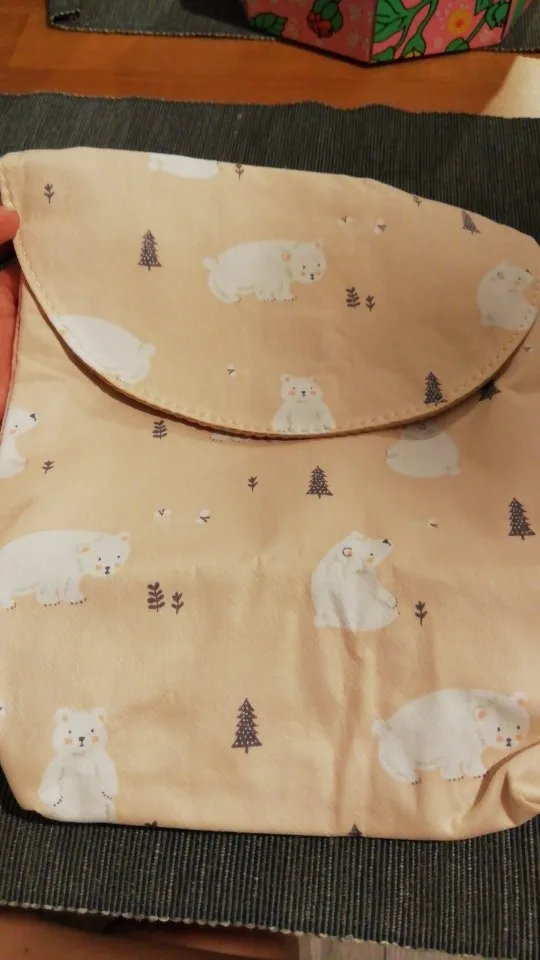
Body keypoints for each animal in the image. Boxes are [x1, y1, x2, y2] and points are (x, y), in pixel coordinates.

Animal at [0, 529, 130, 609]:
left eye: (118, 556)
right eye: (99, 558)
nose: (108, 568)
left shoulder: (70, 570)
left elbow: (69, 584)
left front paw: (76, 599)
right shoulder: (53, 567)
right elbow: (49, 585)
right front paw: (50, 601)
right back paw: (9, 604)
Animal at [373, 689, 530, 784]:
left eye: (518, 726)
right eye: (498, 729)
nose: (509, 740)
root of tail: (385, 730)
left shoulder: (474, 743)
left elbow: (472, 758)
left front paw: (479, 772)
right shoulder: (457, 738)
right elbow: (455, 759)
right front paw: (454, 776)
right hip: (401, 745)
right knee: (402, 764)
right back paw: (413, 778)